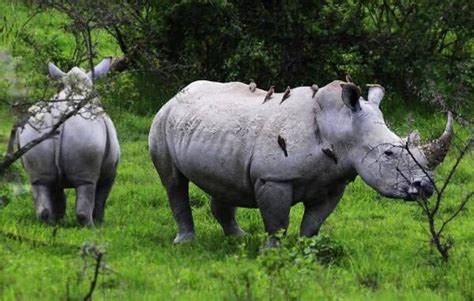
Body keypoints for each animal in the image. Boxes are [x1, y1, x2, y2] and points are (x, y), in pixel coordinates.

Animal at [19, 57, 120, 224]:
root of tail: (61, 113)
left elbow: (58, 196)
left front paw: (58, 221)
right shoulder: (111, 171)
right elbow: (102, 196)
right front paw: (100, 222)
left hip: (34, 134)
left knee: (40, 183)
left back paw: (49, 223)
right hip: (86, 135)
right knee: (87, 185)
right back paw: (91, 226)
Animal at [148, 79, 452, 244]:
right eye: (389, 154)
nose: (426, 187)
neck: (341, 125)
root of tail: (178, 94)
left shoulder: (334, 182)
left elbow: (314, 222)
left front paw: (305, 250)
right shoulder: (274, 178)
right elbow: (277, 222)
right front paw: (272, 254)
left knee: (224, 182)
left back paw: (239, 238)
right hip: (162, 119)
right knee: (173, 182)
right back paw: (186, 243)